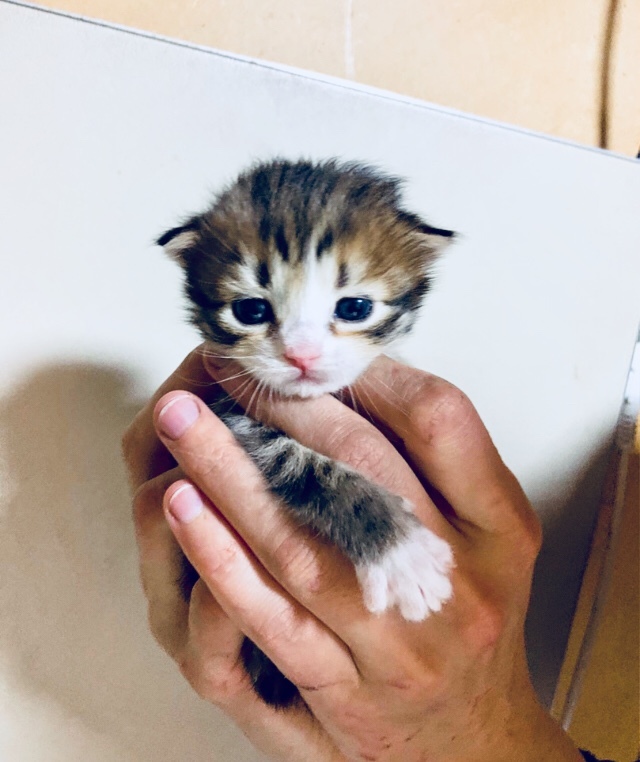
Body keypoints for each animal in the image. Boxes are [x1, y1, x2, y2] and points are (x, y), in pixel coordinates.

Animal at [158, 156, 458, 708]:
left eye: (355, 308)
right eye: (251, 310)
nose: (302, 356)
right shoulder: (232, 413)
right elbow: (310, 467)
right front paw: (401, 554)